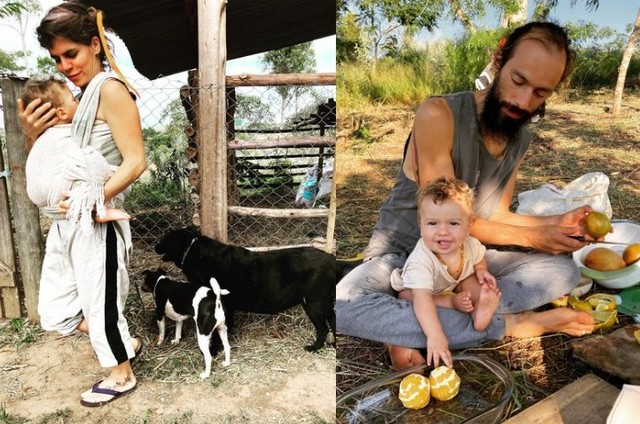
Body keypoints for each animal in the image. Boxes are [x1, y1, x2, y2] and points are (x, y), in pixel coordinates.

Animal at [155, 227, 338, 352]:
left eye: (165, 238)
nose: (154, 245)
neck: (195, 253)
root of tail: (330, 258)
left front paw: (214, 350)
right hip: (326, 304)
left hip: (313, 304)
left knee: (323, 329)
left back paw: (314, 348)